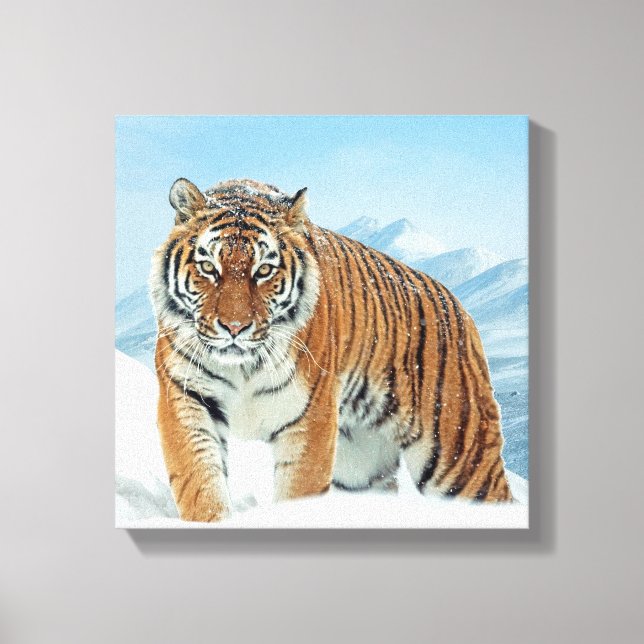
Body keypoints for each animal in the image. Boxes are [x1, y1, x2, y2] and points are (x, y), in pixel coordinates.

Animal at [150, 177, 512, 522]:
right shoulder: (186, 398)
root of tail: (459, 306)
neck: (244, 367)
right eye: (209, 268)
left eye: (263, 270)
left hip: (460, 458)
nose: (235, 327)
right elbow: (200, 483)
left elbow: (299, 493)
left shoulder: (310, 418)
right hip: (361, 468)